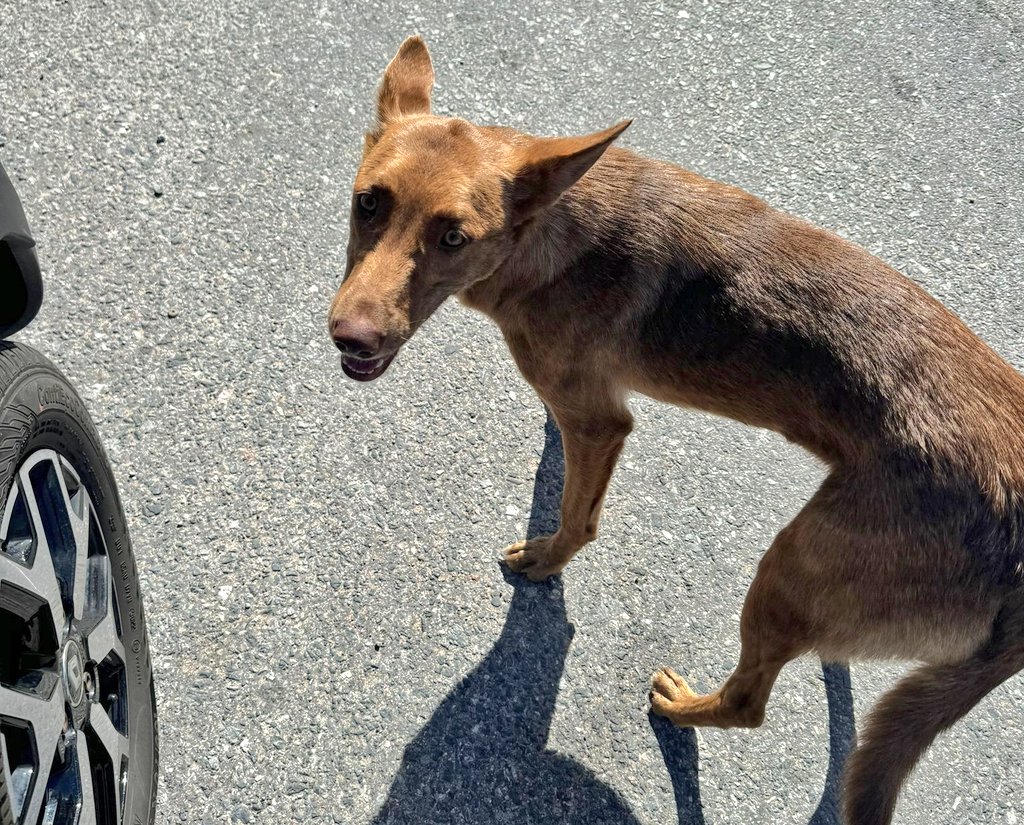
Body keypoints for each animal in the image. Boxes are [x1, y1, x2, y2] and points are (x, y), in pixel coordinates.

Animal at [325, 37, 1024, 825]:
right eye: (369, 203)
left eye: (452, 236)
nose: (350, 337)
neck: (548, 234)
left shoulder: (600, 421)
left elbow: (576, 516)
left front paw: (545, 560)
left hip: (789, 569)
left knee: (750, 702)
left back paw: (684, 709)